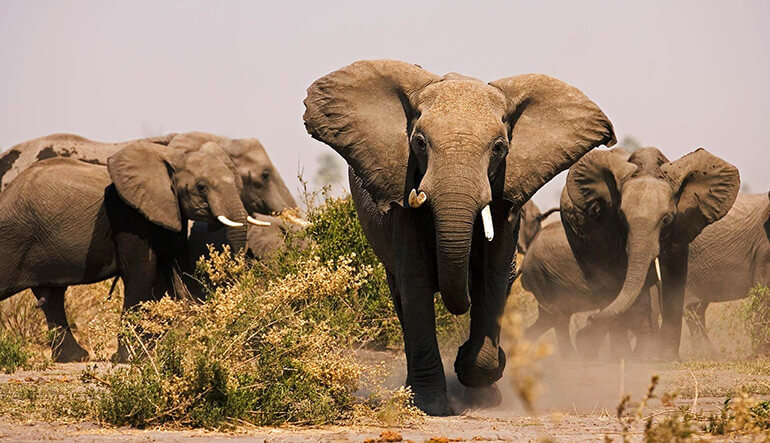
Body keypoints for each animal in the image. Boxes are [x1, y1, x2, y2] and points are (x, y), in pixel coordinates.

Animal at [304, 59, 616, 416]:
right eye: (419, 143)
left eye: (499, 148)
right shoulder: (403, 195)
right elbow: (416, 281)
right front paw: (432, 404)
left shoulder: (505, 196)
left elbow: (493, 277)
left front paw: (481, 384)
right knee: (401, 295)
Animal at [560, 147, 736, 362]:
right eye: (621, 217)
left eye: (666, 219)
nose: (590, 320)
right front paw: (643, 357)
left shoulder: (681, 227)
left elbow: (674, 282)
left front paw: (667, 358)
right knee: (604, 286)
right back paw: (621, 354)